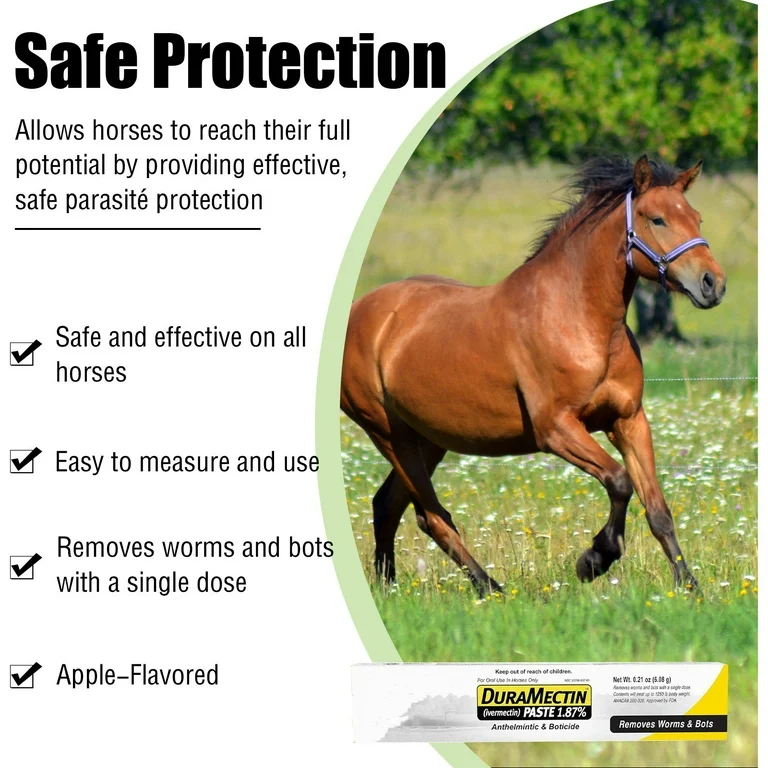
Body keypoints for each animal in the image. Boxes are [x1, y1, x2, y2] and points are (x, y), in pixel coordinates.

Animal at [341, 155, 726, 596]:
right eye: (657, 219)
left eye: (696, 217)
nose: (713, 284)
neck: (580, 319)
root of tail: (359, 313)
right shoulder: (556, 428)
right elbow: (619, 481)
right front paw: (594, 560)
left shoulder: (628, 421)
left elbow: (658, 509)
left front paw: (690, 587)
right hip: (390, 434)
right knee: (431, 516)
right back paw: (488, 586)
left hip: (429, 439)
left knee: (387, 504)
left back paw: (390, 587)